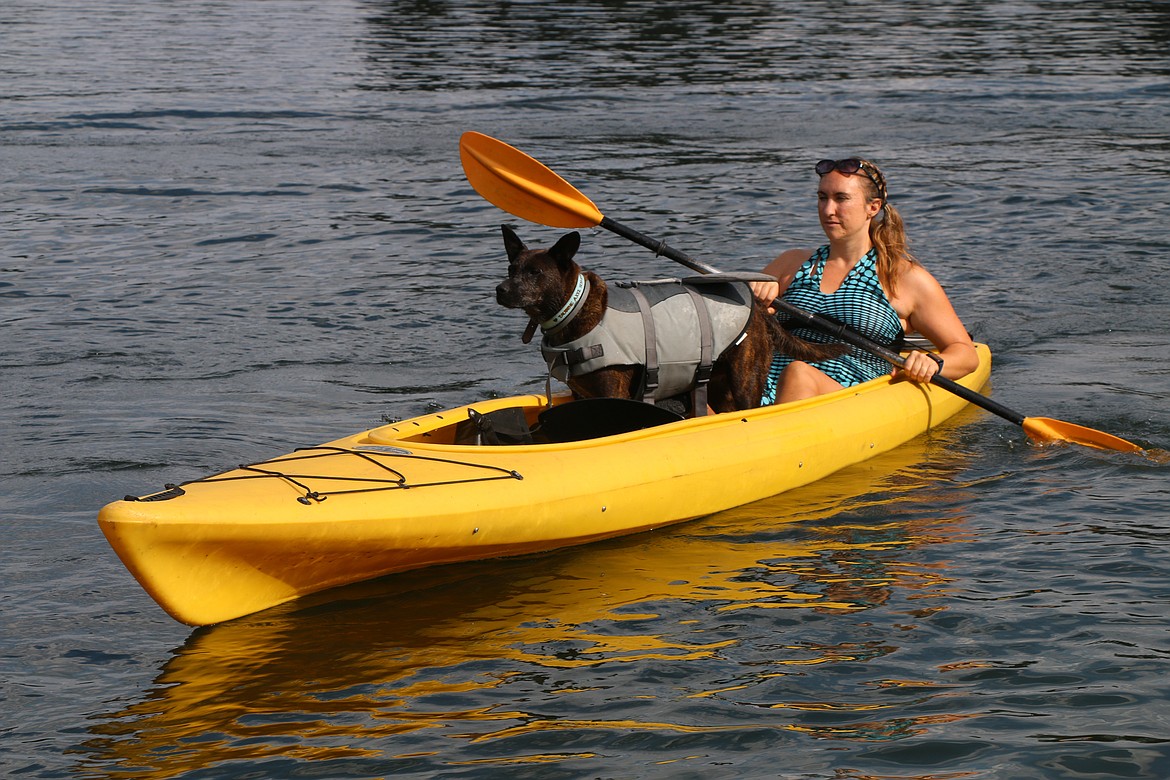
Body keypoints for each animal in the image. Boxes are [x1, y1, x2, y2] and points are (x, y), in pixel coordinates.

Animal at [493, 224, 842, 413]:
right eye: (512, 268)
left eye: (535, 273)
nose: (500, 290)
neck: (574, 312)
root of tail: (757, 305)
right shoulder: (582, 395)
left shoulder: (612, 393)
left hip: (745, 381)